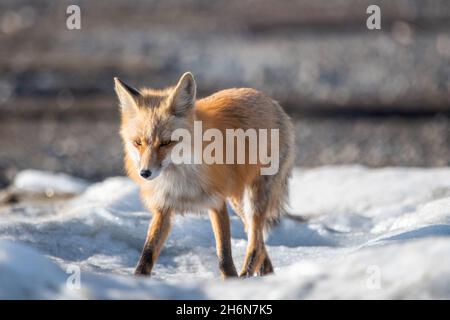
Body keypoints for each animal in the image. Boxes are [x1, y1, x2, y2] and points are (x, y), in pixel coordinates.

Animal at [114, 72, 294, 278]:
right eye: (138, 143)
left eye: (166, 142)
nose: (145, 173)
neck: (180, 179)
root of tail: (269, 99)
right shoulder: (163, 207)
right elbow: (147, 254)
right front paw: (138, 279)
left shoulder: (216, 203)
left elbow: (224, 256)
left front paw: (231, 280)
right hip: (237, 202)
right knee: (257, 239)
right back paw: (266, 273)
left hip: (253, 199)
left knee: (255, 241)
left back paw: (246, 276)